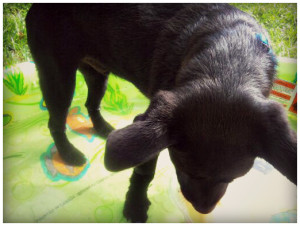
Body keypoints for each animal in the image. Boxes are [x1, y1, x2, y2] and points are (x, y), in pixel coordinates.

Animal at [26, 3, 298, 222]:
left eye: (231, 179)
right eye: (184, 170)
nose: (202, 209)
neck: (230, 60)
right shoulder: (149, 126)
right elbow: (144, 171)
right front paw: (135, 206)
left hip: (97, 74)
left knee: (92, 104)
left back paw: (103, 129)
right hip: (58, 77)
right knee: (55, 123)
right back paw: (69, 153)